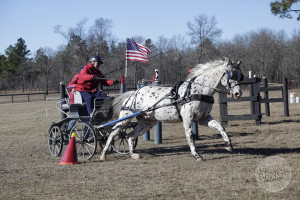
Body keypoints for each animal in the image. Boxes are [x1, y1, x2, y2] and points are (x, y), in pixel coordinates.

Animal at [99, 57, 243, 161]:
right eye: (231, 75)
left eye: (240, 75)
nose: (238, 93)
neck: (198, 90)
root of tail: (133, 93)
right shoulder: (188, 118)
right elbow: (190, 136)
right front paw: (197, 155)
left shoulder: (203, 118)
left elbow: (220, 127)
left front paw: (229, 145)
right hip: (125, 118)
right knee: (113, 133)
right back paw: (103, 155)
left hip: (147, 122)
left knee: (130, 136)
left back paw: (133, 155)